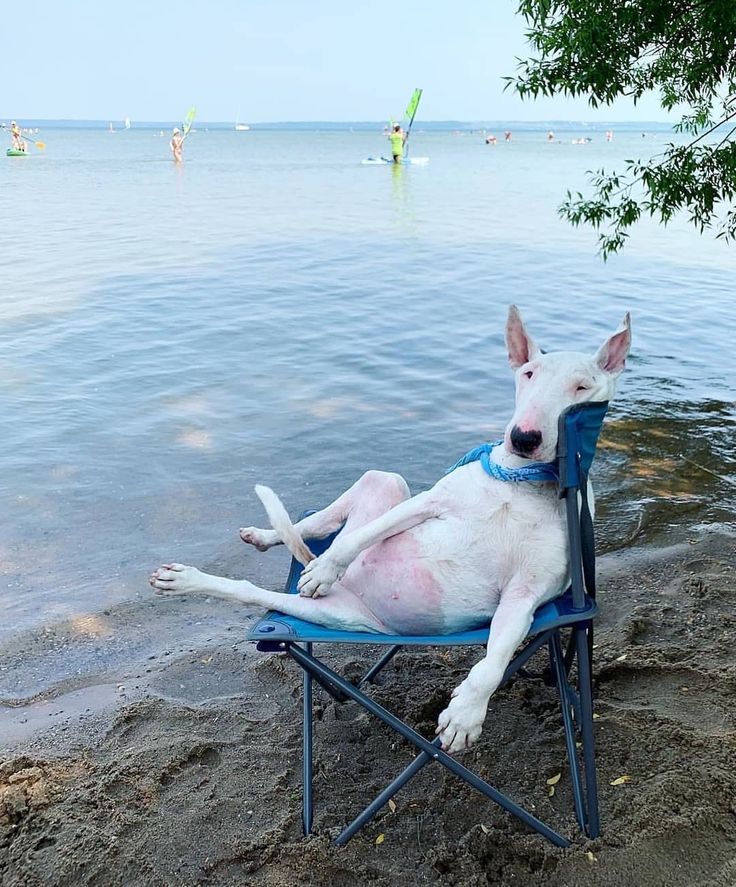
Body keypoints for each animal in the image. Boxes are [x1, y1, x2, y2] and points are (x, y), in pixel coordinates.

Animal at [151, 304, 632, 748]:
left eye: (582, 386)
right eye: (528, 373)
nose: (523, 438)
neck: (522, 482)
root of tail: (351, 592)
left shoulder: (526, 594)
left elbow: (494, 659)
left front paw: (465, 714)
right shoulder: (425, 503)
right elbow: (363, 537)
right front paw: (325, 569)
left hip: (337, 615)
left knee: (253, 591)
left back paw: (199, 579)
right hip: (386, 482)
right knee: (321, 529)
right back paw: (264, 550)